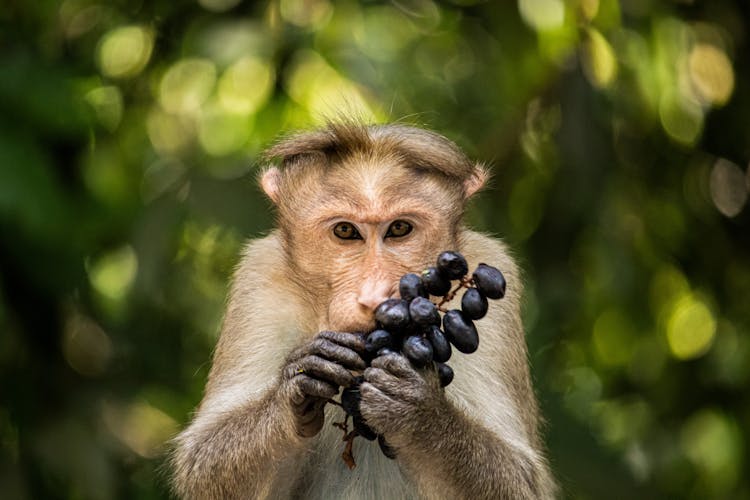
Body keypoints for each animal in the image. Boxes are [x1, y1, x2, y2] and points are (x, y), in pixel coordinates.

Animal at [172, 119, 560, 498]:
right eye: (346, 231)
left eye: (399, 229)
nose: (374, 297)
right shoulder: (260, 281)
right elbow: (202, 463)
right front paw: (301, 382)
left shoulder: (494, 267)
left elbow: (520, 479)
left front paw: (418, 408)